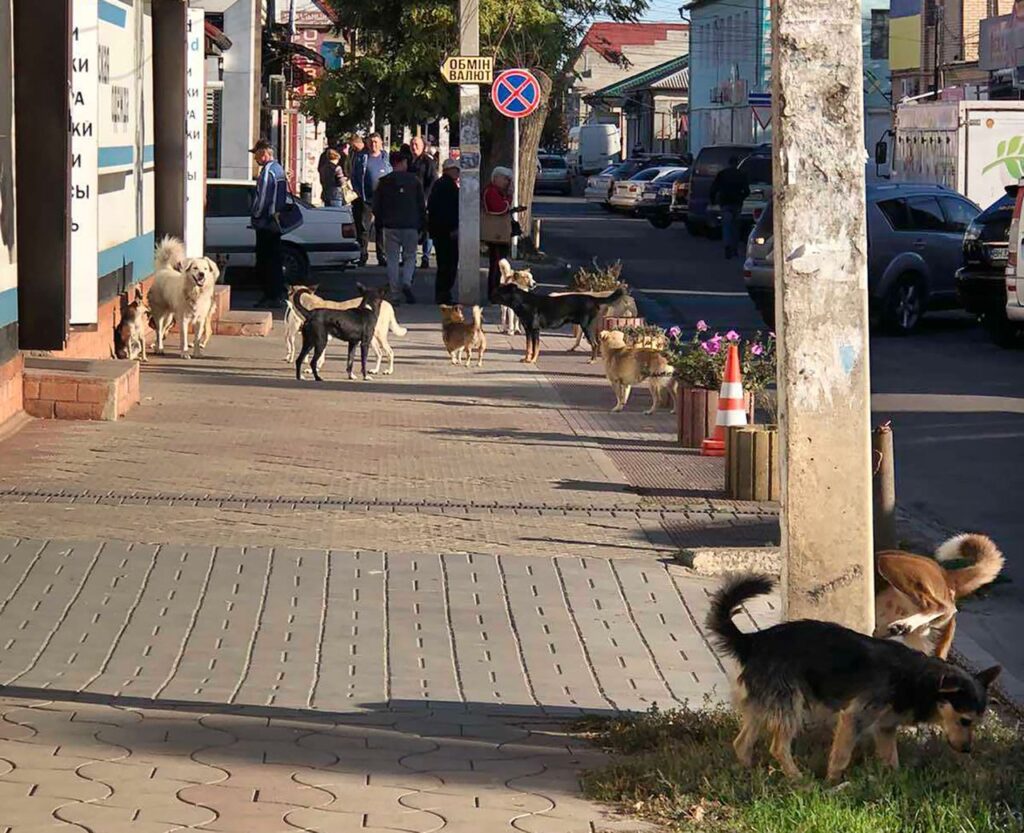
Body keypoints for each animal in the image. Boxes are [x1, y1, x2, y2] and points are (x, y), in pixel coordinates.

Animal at [489, 284, 622, 362]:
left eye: (499, 291)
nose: (489, 297)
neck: (522, 302)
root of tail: (593, 298)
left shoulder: (535, 329)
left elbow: (535, 347)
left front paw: (533, 360)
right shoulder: (528, 330)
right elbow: (528, 346)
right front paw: (527, 358)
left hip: (587, 326)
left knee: (595, 343)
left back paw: (592, 360)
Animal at [704, 573, 999, 778]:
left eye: (976, 722)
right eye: (964, 720)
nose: (968, 750)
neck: (919, 679)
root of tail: (752, 641)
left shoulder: (886, 728)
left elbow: (891, 760)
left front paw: (894, 783)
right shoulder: (854, 717)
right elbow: (841, 756)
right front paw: (832, 784)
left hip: (763, 705)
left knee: (741, 743)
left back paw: (748, 772)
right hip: (789, 703)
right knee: (778, 747)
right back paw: (798, 780)